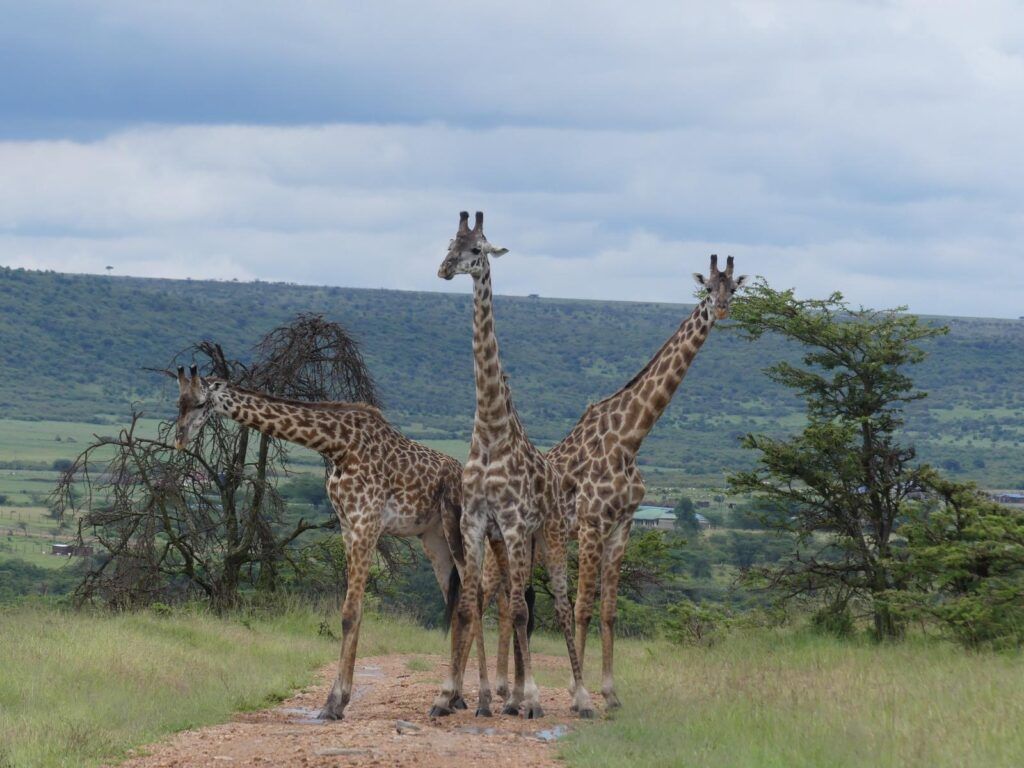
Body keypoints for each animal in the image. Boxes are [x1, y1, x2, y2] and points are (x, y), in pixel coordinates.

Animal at [173, 365, 465, 721]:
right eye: (179, 402)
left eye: (201, 403)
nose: (178, 439)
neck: (337, 445)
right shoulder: (348, 525)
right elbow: (351, 611)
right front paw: (335, 701)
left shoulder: (366, 522)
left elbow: (350, 612)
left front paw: (334, 702)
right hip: (434, 540)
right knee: (462, 604)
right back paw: (454, 699)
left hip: (459, 532)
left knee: (471, 602)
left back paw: (449, 698)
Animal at [428, 211, 594, 720]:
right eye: (449, 242)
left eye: (477, 250)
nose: (445, 269)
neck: (490, 430)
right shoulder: (478, 522)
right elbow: (472, 606)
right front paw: (470, 698)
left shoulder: (518, 523)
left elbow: (523, 610)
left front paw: (535, 698)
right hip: (510, 543)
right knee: (511, 599)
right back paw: (512, 697)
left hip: (551, 536)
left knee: (558, 604)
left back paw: (580, 698)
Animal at [481, 254, 746, 709]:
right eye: (708, 288)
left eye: (734, 288)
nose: (722, 309)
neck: (630, 438)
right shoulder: (592, 524)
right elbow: (583, 607)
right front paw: (578, 691)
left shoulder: (623, 526)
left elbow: (608, 610)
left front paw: (610, 692)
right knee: (483, 595)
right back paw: (488, 688)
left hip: (529, 543)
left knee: (506, 601)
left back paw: (505, 687)